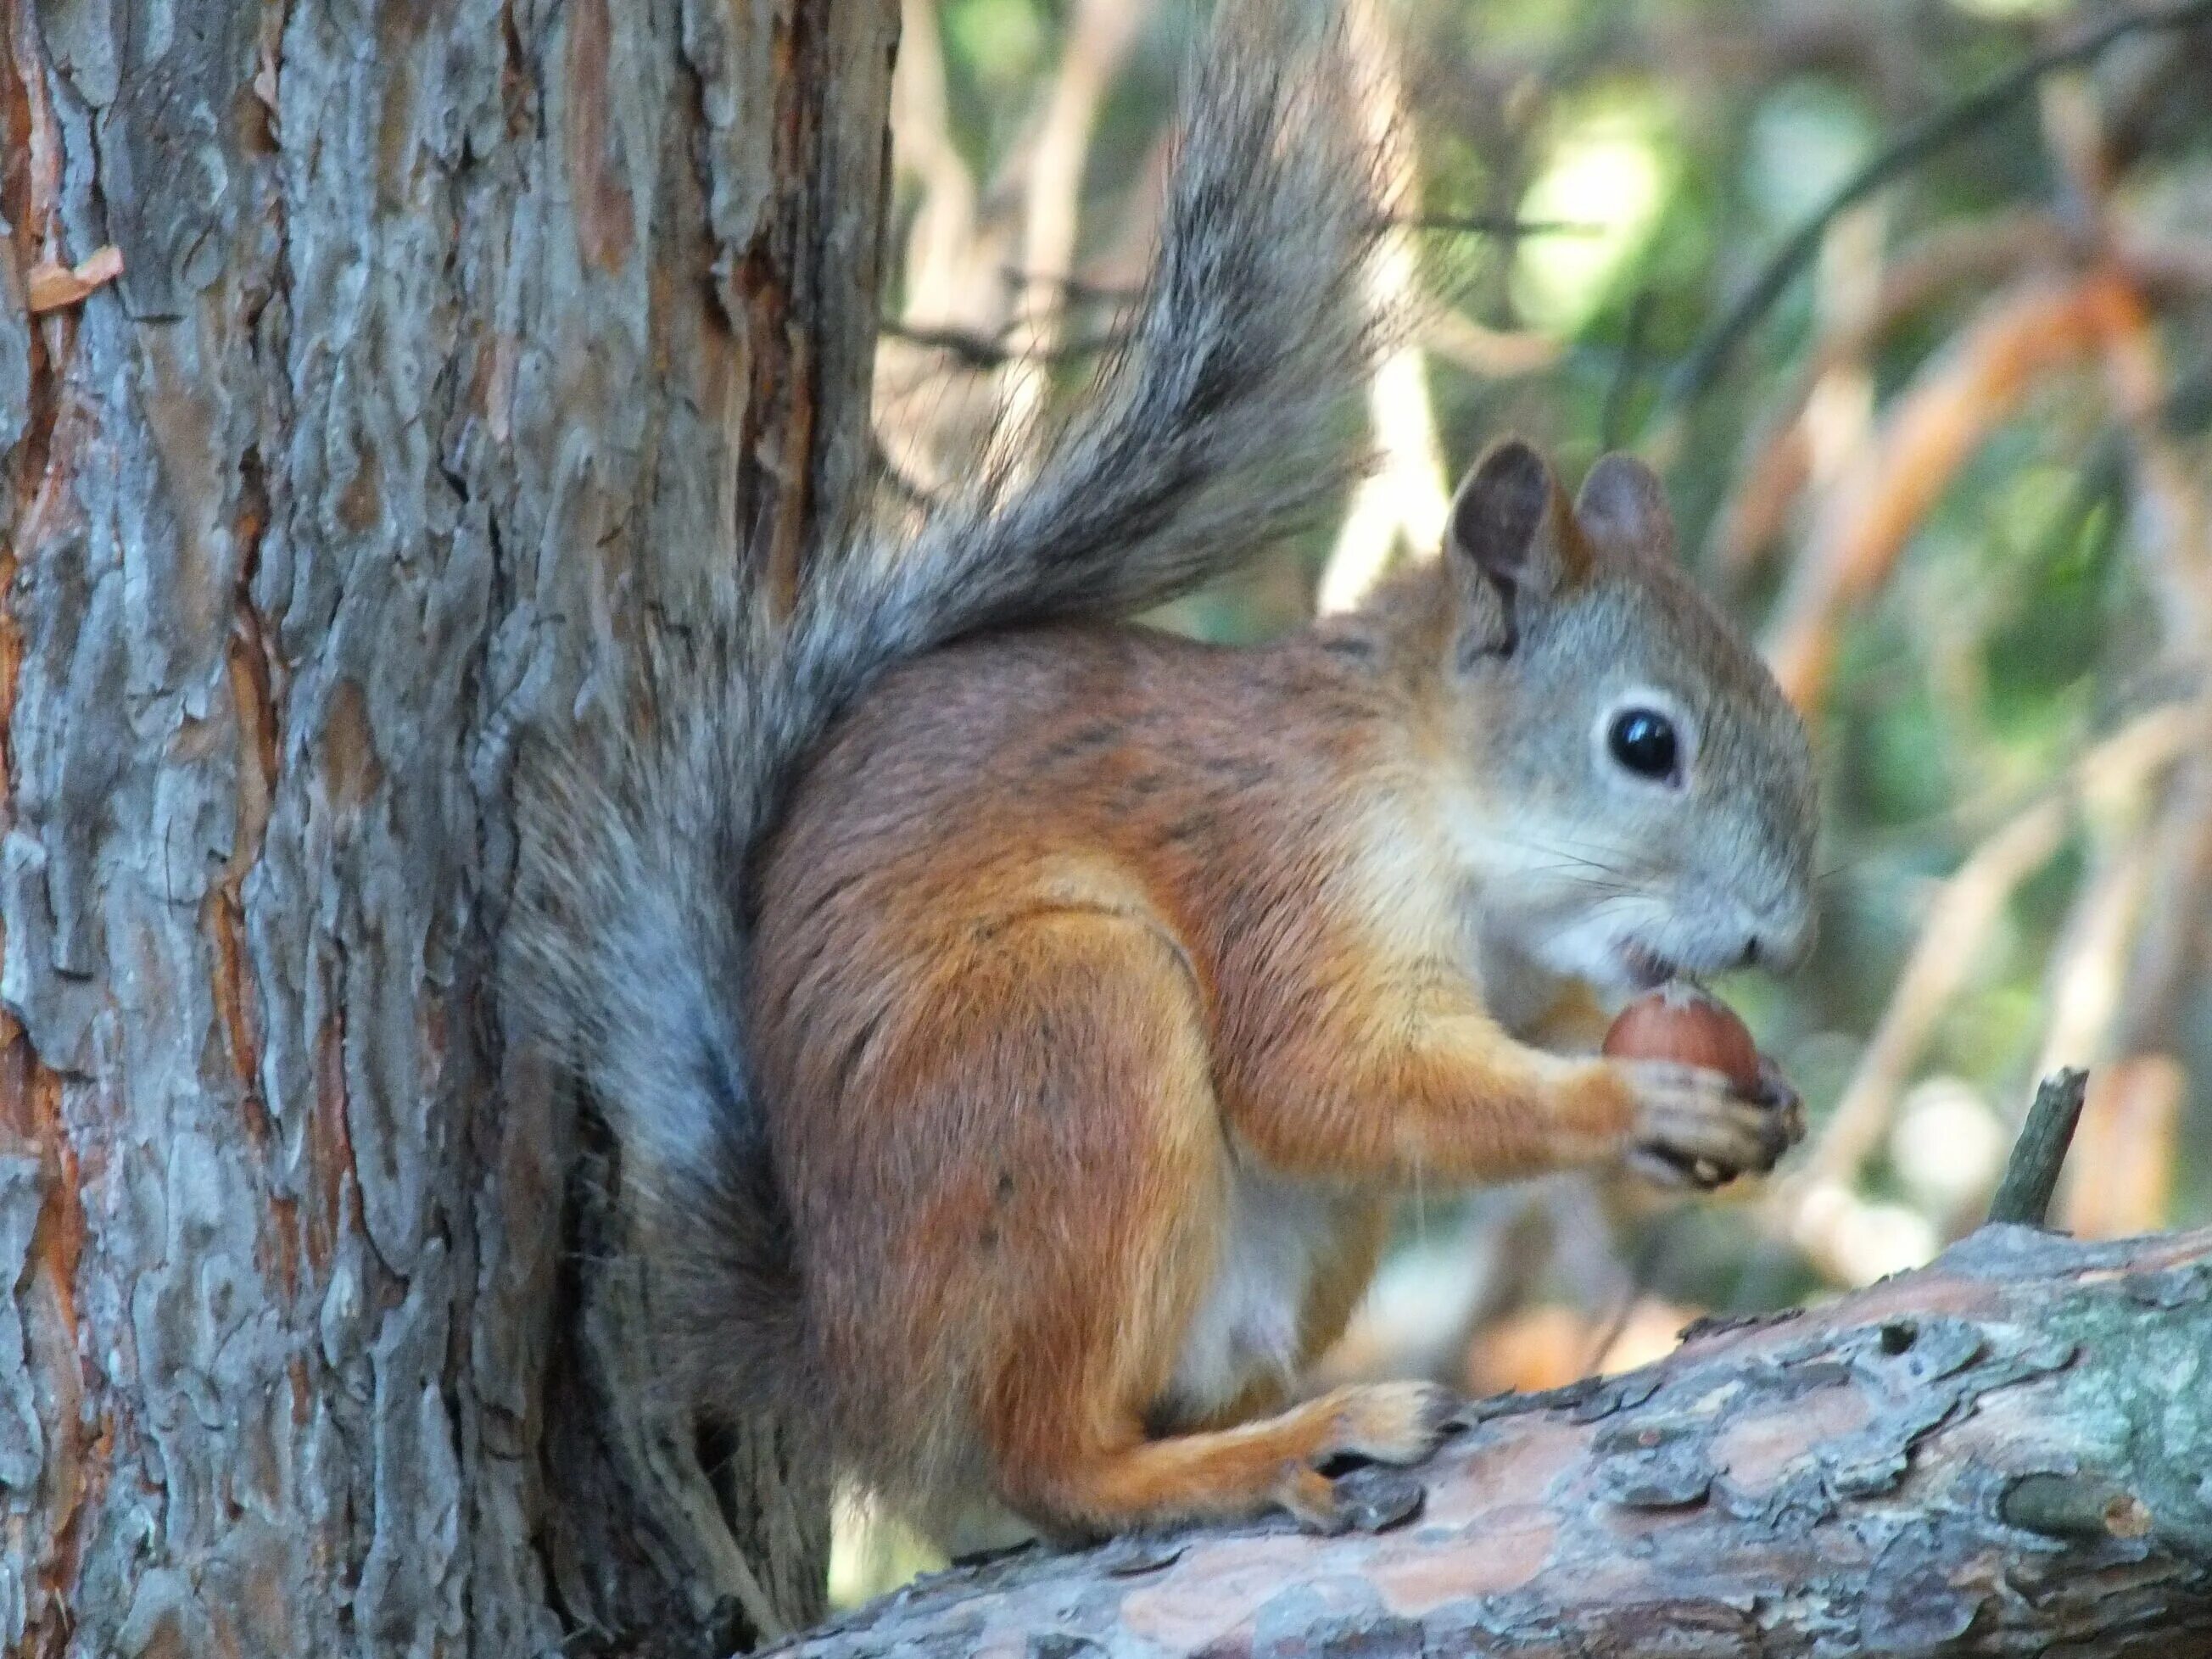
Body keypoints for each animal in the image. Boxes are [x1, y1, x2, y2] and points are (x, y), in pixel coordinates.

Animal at [502, 6, 1813, 1557]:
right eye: (1643, 744)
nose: (1777, 936)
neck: (1433, 804)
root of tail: (853, 1366)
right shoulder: (1287, 874)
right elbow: (1327, 1082)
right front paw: (1635, 1111)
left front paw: (1755, 1087)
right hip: (1071, 1035)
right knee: (1057, 1463)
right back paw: (1264, 1451)